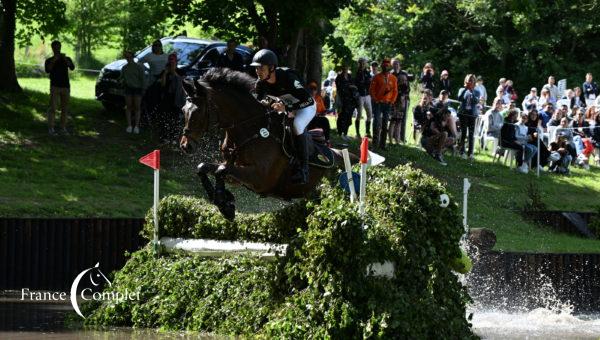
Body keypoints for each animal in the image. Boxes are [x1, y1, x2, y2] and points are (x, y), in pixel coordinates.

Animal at [180, 67, 354, 219]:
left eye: (198, 112)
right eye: (183, 110)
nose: (185, 146)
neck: (251, 130)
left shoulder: (259, 178)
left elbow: (220, 170)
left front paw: (225, 205)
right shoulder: (236, 175)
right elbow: (205, 167)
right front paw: (224, 202)